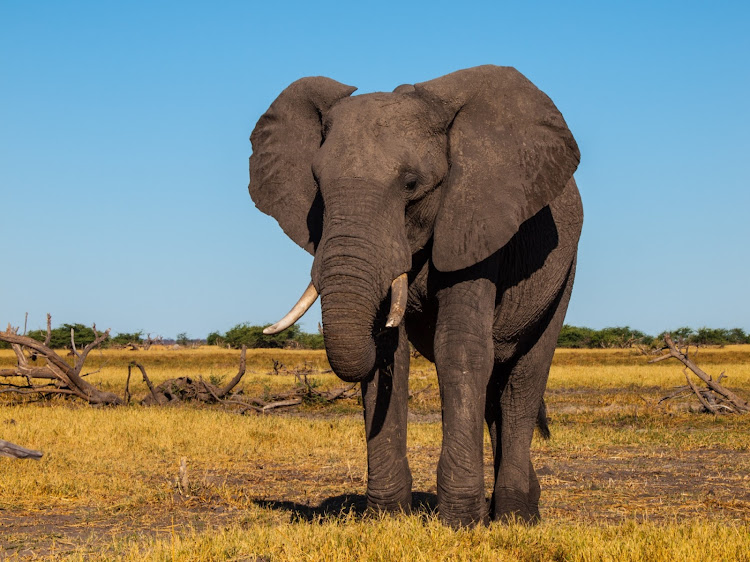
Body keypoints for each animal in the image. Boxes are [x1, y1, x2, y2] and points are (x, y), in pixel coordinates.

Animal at [250, 65, 584, 524]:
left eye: (411, 184)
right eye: (317, 183)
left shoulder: (475, 219)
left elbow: (459, 350)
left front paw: (461, 523)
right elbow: (392, 355)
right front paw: (387, 517)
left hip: (564, 269)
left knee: (524, 379)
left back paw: (516, 516)